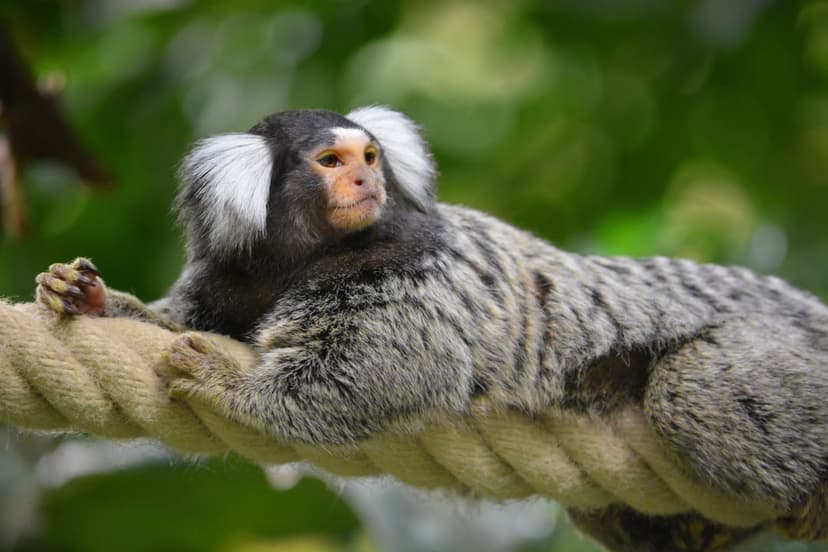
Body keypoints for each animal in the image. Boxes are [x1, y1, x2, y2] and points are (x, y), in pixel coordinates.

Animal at [34, 106, 828, 550]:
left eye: (370, 157)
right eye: (330, 161)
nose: (364, 181)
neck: (295, 263)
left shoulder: (412, 268)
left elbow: (382, 368)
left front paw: (226, 382)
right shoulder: (226, 277)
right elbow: (169, 317)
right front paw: (92, 299)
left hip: (770, 355)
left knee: (692, 393)